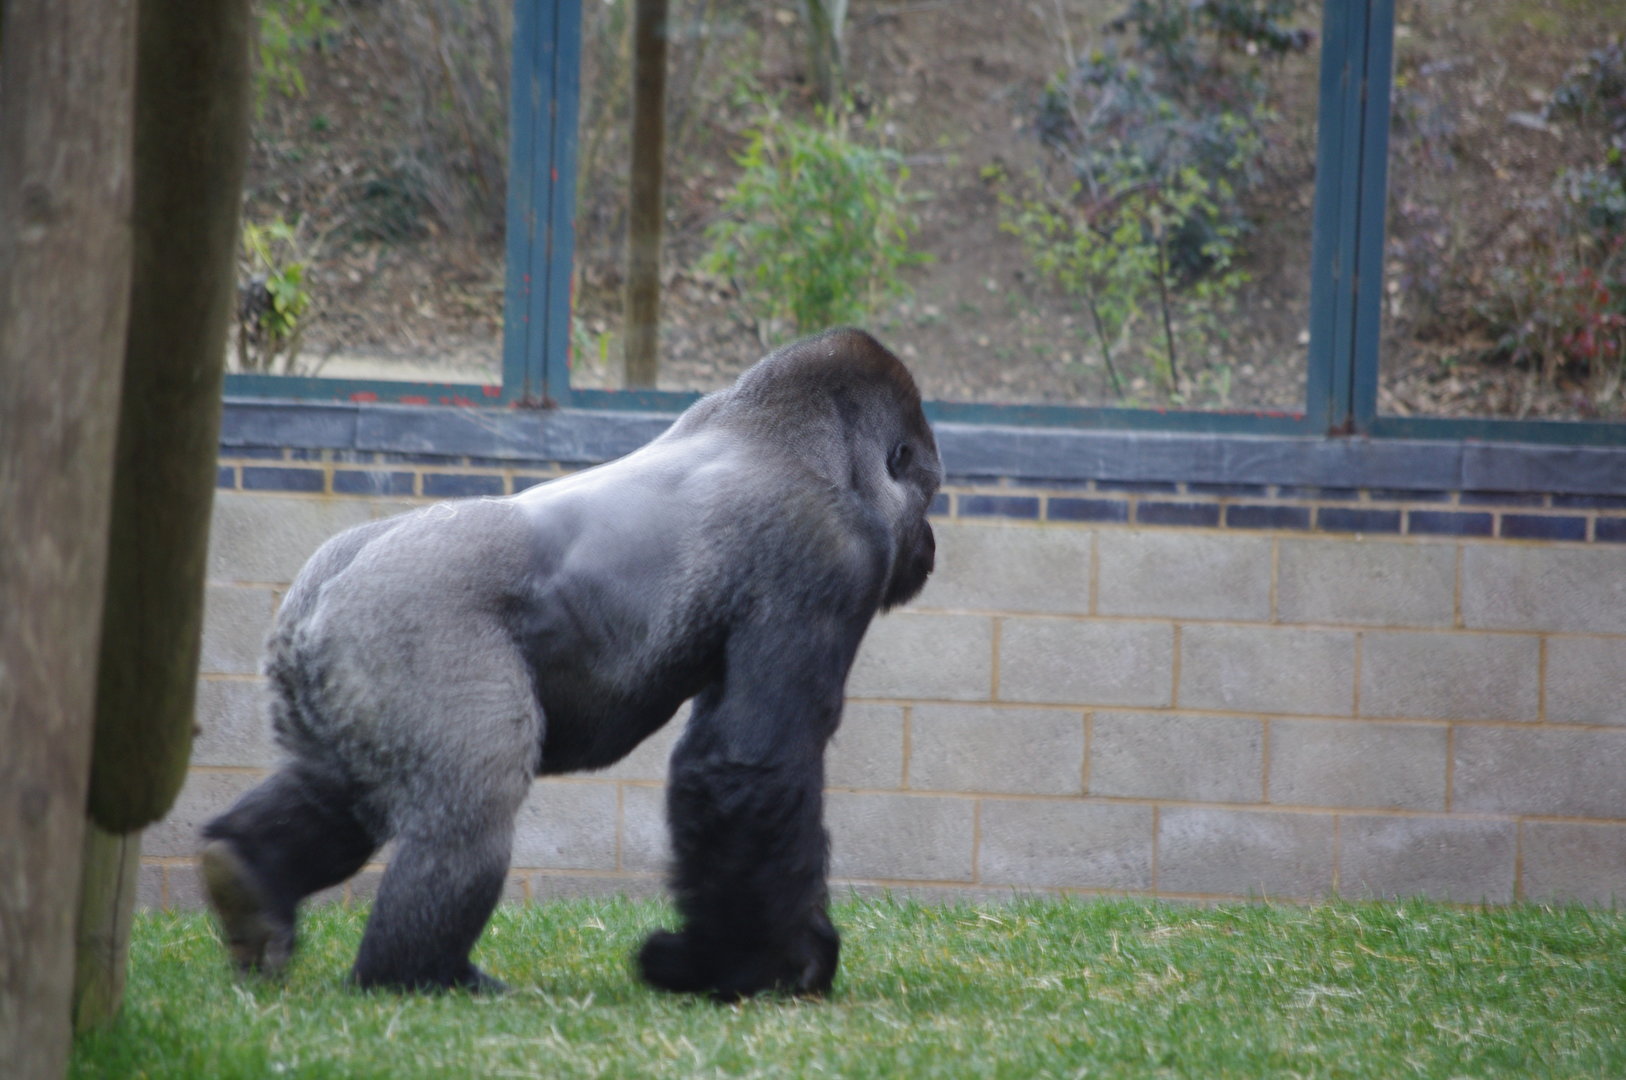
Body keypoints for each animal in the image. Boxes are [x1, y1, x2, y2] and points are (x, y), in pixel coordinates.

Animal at [199, 327, 941, 1001]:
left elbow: (723, 761)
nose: (931, 543)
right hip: (405, 628)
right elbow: (751, 763)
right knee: (472, 804)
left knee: (335, 790)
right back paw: (416, 974)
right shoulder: (826, 553)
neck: (790, 435)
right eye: (927, 490)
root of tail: (325, 587)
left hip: (327, 674)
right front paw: (762, 965)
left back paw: (250, 875)